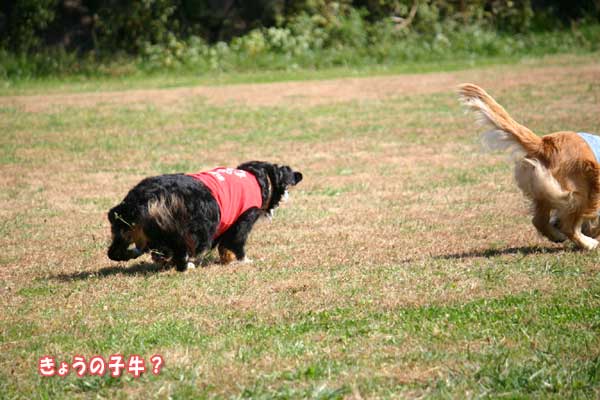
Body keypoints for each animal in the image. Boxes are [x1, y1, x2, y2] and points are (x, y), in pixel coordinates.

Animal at [106, 161, 302, 270]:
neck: (256, 178)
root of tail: (143, 199)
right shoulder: (244, 219)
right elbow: (236, 244)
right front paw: (244, 261)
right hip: (194, 227)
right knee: (176, 251)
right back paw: (186, 265)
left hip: (124, 228)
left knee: (115, 253)